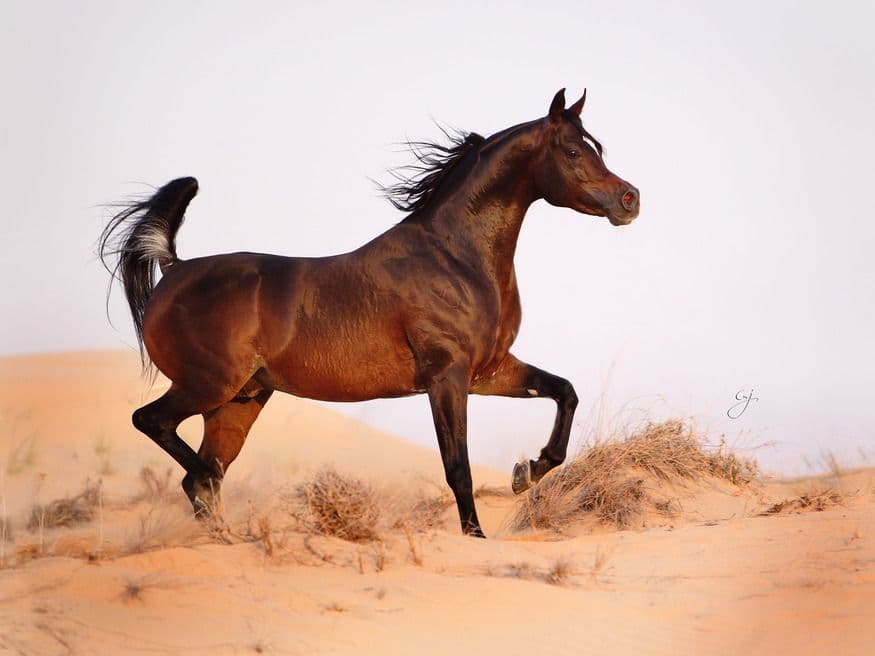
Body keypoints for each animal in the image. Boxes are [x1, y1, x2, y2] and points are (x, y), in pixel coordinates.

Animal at [99, 88, 639, 537]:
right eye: (573, 151)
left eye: (595, 147)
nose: (630, 199)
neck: (455, 256)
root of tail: (175, 269)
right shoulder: (446, 377)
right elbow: (457, 467)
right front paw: (477, 535)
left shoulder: (488, 371)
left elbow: (564, 392)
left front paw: (527, 472)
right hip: (208, 385)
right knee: (164, 436)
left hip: (238, 402)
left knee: (204, 479)